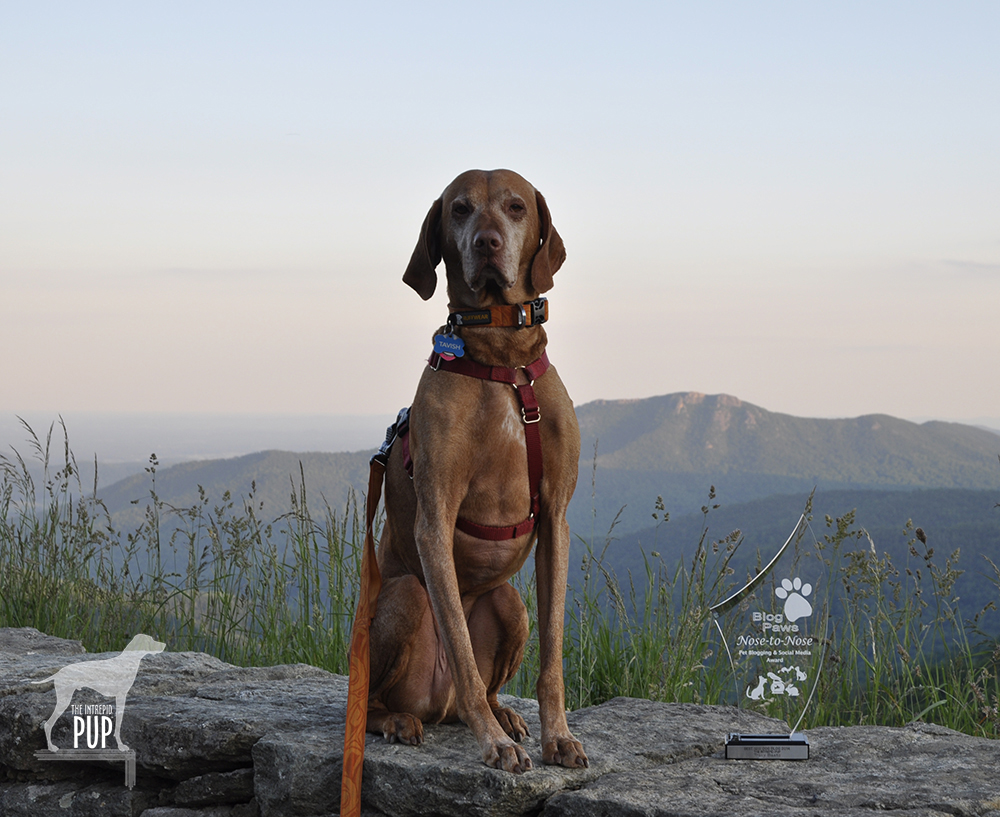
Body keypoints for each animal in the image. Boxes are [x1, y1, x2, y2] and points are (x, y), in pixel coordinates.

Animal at [366, 167, 584, 772]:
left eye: (515, 207)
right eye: (460, 209)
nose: (487, 242)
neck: (503, 360)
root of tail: (437, 706)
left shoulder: (556, 517)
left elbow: (554, 655)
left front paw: (558, 734)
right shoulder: (435, 516)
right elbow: (461, 652)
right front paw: (493, 745)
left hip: (510, 603)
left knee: (489, 678)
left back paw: (504, 714)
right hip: (404, 597)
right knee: (376, 699)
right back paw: (403, 720)